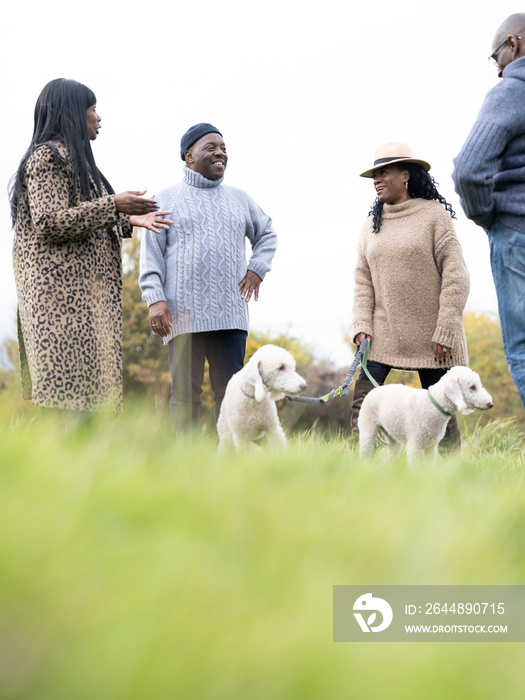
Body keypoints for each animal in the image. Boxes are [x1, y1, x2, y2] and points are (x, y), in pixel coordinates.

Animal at [356, 366, 492, 464]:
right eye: (472, 387)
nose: (490, 404)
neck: (434, 404)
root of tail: (374, 389)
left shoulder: (431, 446)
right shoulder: (414, 445)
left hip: (392, 435)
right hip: (368, 428)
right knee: (365, 449)